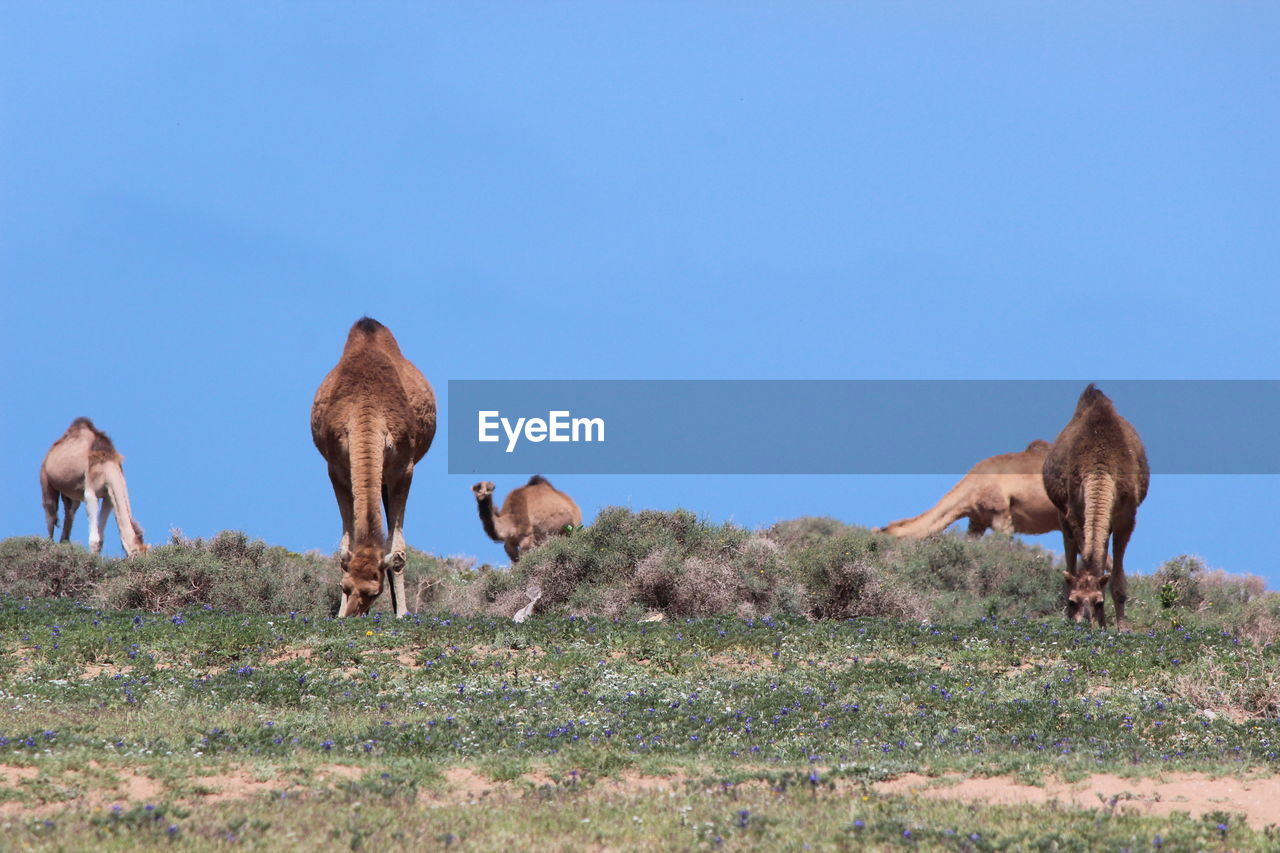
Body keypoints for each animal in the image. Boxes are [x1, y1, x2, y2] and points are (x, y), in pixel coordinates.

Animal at [39, 417, 146, 558]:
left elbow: (100, 538)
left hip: (71, 495)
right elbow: (94, 539)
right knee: (50, 516)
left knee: (69, 513)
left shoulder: (108, 497)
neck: (107, 466)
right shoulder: (90, 493)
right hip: (46, 480)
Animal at [308, 315, 435, 614]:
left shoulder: (404, 468)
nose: (353, 614)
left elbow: (397, 551)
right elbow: (347, 544)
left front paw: (402, 614)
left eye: (373, 592)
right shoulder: (336, 469)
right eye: (344, 586)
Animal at [1039, 381, 1152, 627]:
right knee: (1070, 554)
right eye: (1073, 601)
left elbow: (1117, 580)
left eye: (1099, 602)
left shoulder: (1126, 517)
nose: (1083, 622)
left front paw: (1120, 627)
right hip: (1062, 516)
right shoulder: (1074, 512)